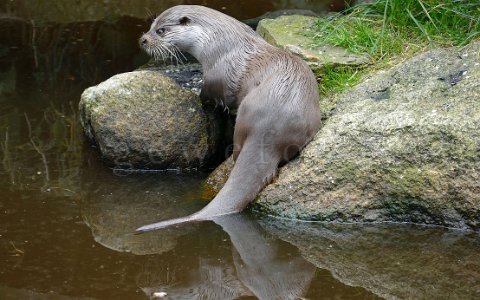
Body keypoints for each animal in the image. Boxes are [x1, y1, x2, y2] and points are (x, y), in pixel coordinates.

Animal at [137, 5, 320, 232]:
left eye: (161, 30)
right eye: (151, 25)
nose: (143, 40)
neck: (219, 44)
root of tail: (269, 129)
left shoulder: (216, 75)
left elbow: (208, 95)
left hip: (243, 116)